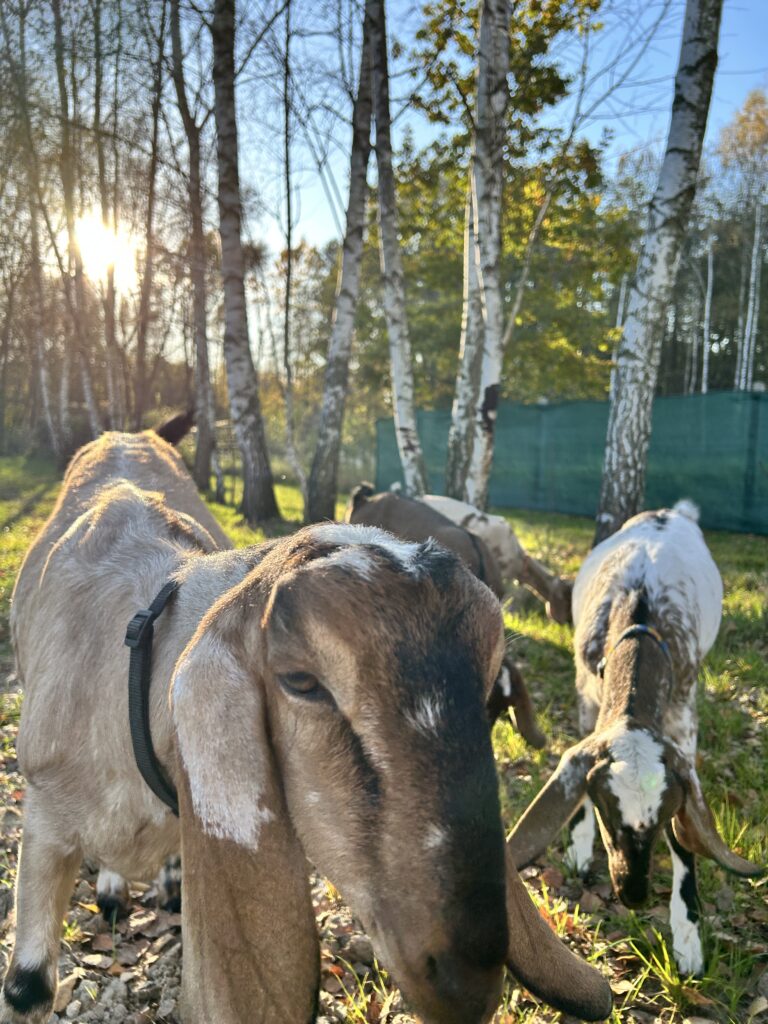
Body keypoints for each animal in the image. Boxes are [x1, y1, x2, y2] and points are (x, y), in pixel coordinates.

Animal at [507, 503, 765, 974]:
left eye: (666, 816)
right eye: (608, 812)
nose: (634, 895)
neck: (641, 623)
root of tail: (668, 512)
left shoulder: (682, 721)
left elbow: (685, 842)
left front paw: (688, 938)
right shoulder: (587, 696)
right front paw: (578, 845)